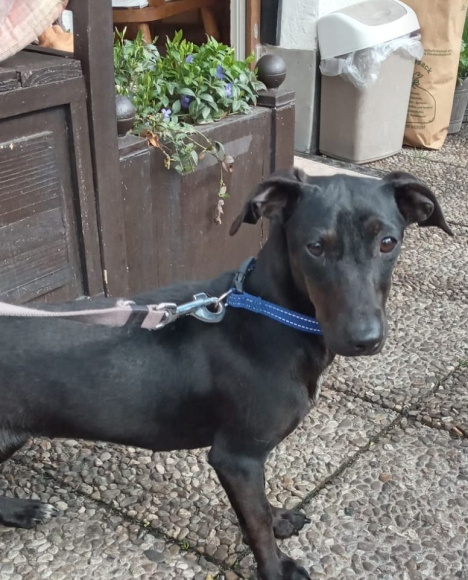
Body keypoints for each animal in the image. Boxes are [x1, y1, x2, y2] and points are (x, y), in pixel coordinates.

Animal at [0, 168, 452, 580]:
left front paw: (279, 519)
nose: (364, 340)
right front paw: (276, 570)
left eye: (388, 242)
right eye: (315, 247)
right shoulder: (237, 458)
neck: (272, 316)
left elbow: (262, 509)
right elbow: (256, 527)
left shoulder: (248, 463)